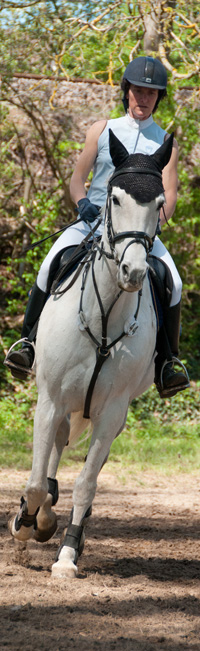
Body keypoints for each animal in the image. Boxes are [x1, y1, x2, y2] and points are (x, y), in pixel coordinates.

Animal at [9, 130, 173, 580]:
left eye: (158, 202)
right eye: (114, 198)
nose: (134, 273)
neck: (103, 316)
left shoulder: (113, 410)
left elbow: (86, 482)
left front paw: (67, 555)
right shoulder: (48, 399)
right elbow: (34, 480)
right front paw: (28, 522)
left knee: (82, 464)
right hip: (62, 400)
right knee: (55, 450)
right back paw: (39, 515)